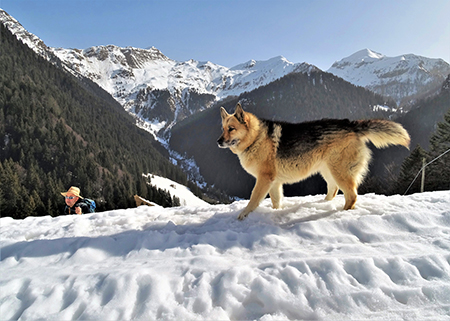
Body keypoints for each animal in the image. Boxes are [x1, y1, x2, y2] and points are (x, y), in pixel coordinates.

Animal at [216, 104, 410, 219]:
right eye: (223, 129)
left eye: (231, 129)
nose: (218, 142)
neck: (256, 138)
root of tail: (352, 124)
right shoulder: (274, 183)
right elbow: (276, 202)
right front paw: (276, 213)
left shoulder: (264, 180)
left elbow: (253, 199)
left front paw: (243, 215)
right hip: (328, 171)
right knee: (334, 190)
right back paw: (324, 204)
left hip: (339, 172)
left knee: (352, 195)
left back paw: (341, 213)